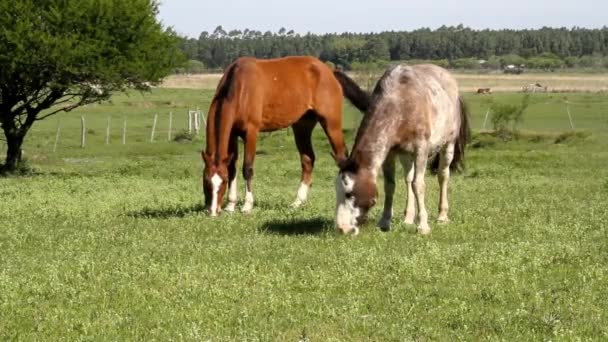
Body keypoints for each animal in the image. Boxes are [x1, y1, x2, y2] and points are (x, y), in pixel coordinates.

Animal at [202, 56, 368, 216]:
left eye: (223, 182)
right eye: (206, 181)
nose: (212, 211)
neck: (240, 86)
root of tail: (329, 71)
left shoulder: (251, 132)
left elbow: (247, 168)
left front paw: (247, 206)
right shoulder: (232, 133)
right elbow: (232, 167)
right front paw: (230, 206)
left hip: (331, 123)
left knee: (341, 155)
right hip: (302, 126)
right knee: (308, 160)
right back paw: (298, 202)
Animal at [332, 64, 470, 235]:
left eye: (349, 193)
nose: (341, 228)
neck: (401, 101)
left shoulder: (421, 150)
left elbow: (419, 185)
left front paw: (423, 226)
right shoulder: (390, 153)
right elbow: (390, 185)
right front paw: (385, 222)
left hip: (448, 145)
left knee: (443, 176)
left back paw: (442, 216)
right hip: (406, 155)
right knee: (408, 179)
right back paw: (408, 218)